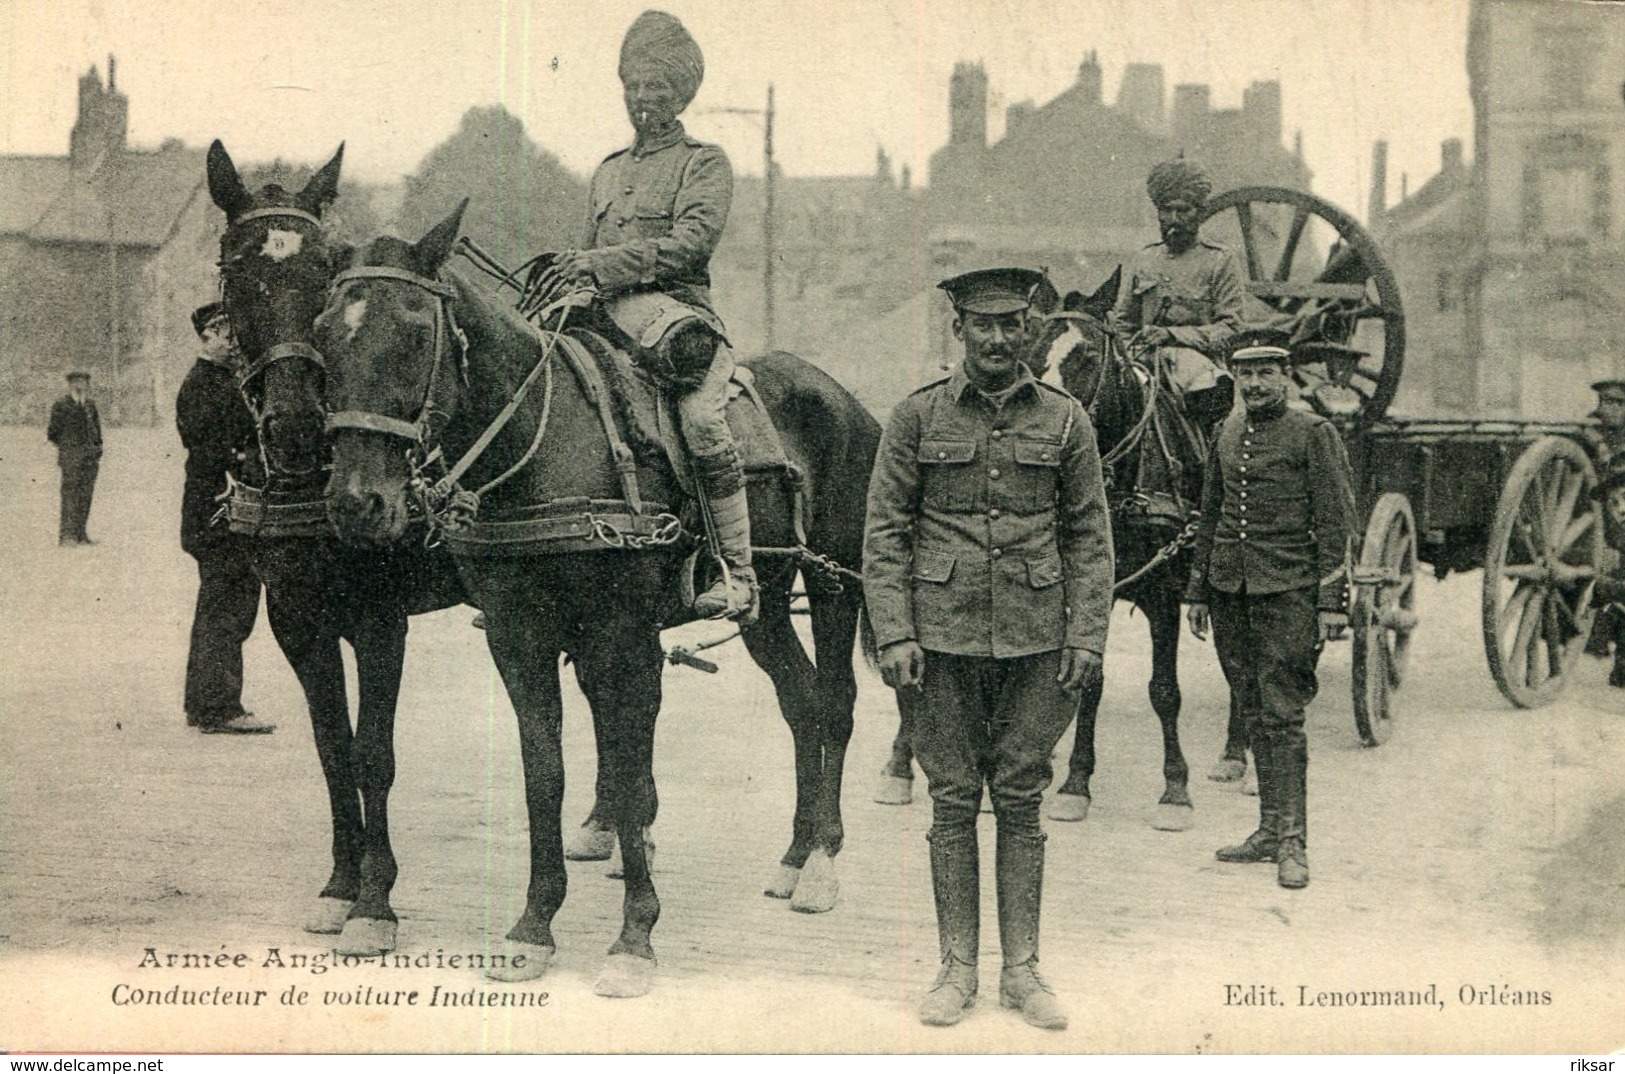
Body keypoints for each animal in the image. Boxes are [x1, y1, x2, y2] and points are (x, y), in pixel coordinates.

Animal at [206, 140, 464, 955]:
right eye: (238, 270)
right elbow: (332, 750)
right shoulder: (298, 621)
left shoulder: (382, 620)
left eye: (323, 273)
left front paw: (375, 903)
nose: (293, 423)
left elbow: (373, 754)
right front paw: (339, 887)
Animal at [312, 205, 884, 994]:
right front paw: (533, 927)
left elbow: (633, 777)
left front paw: (633, 939)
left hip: (832, 582)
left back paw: (822, 864)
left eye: (416, 331)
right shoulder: (519, 639)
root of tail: (843, 397)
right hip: (765, 605)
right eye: (325, 336)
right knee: (800, 701)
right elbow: (544, 772)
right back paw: (794, 858)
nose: (358, 503)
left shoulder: (623, 639)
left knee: (834, 702)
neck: (546, 442)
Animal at [877, 272, 1209, 825]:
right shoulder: (1086, 591)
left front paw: (1175, 790)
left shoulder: (1162, 591)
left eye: (1090, 355)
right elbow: (1087, 683)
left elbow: (1163, 691)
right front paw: (1075, 782)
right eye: (1032, 350)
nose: (1060, 427)